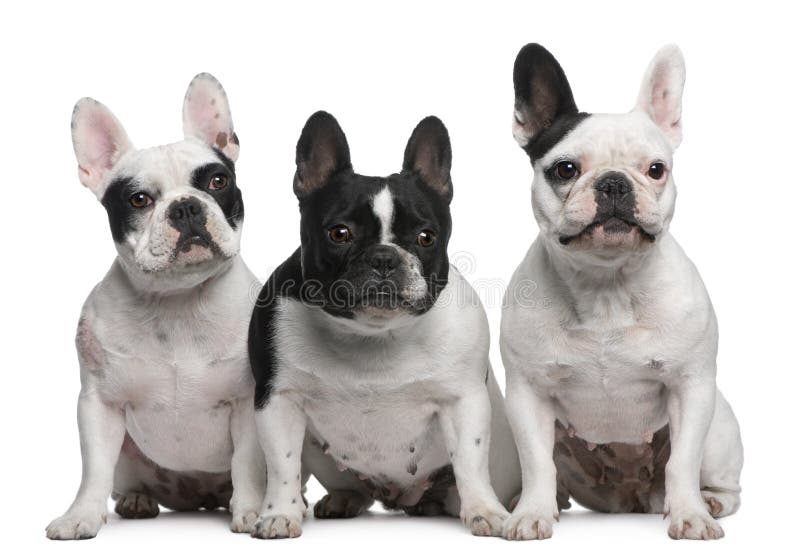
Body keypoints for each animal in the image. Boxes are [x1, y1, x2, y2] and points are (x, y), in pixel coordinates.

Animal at [46, 75, 266, 544]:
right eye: (139, 200)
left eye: (217, 181)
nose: (185, 206)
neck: (177, 301)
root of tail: (199, 497)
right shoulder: (99, 404)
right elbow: (94, 469)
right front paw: (80, 515)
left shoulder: (248, 402)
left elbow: (248, 462)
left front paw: (253, 510)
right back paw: (137, 500)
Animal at [250, 112, 520, 540]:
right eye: (339, 233)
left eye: (426, 237)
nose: (384, 257)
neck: (373, 335)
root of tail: (399, 499)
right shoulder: (278, 399)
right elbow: (283, 464)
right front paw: (279, 514)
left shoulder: (464, 401)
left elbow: (471, 460)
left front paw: (485, 511)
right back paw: (344, 499)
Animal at [500, 43, 744, 544]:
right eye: (565, 169)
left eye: (656, 170)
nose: (614, 181)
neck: (606, 285)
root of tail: (629, 497)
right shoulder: (527, 394)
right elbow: (536, 463)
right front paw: (532, 513)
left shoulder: (691, 387)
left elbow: (681, 462)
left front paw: (690, 516)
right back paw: (546, 502)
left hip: (718, 429)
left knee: (723, 485)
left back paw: (707, 502)